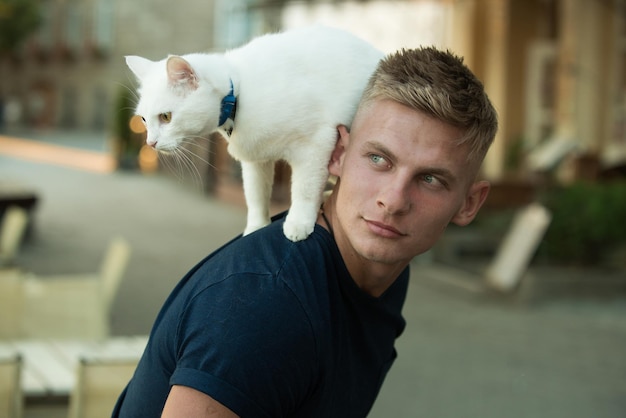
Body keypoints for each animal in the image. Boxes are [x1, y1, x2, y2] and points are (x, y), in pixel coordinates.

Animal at [126, 25, 380, 242]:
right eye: (144, 119)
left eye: (166, 117)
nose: (150, 143)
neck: (237, 93)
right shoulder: (256, 159)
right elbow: (255, 195)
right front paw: (256, 227)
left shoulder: (316, 144)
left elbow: (305, 189)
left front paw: (299, 222)